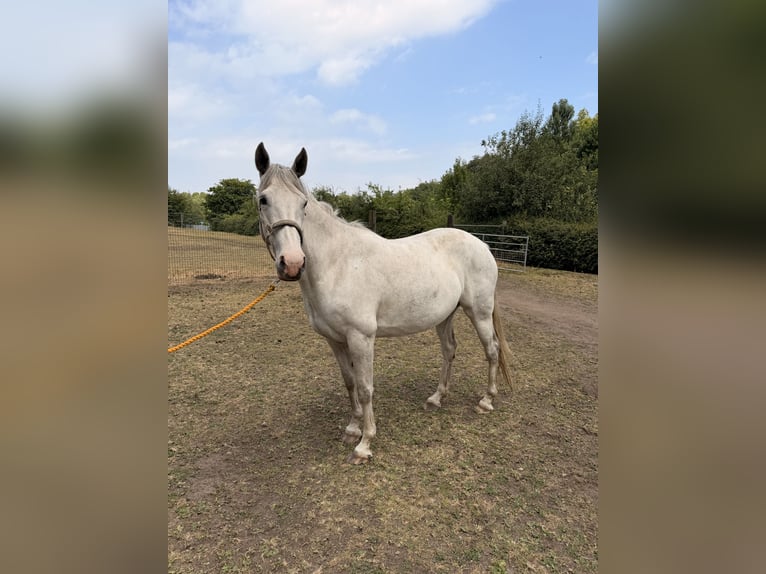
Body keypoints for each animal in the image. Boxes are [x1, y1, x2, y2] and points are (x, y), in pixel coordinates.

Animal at [254, 143, 513, 464]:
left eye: (303, 204)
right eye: (263, 200)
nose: (292, 263)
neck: (337, 264)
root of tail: (483, 245)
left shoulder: (361, 337)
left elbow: (365, 388)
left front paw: (364, 444)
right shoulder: (334, 340)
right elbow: (349, 382)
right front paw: (352, 428)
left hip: (479, 312)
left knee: (492, 350)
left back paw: (486, 401)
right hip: (445, 316)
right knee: (449, 350)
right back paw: (436, 398)